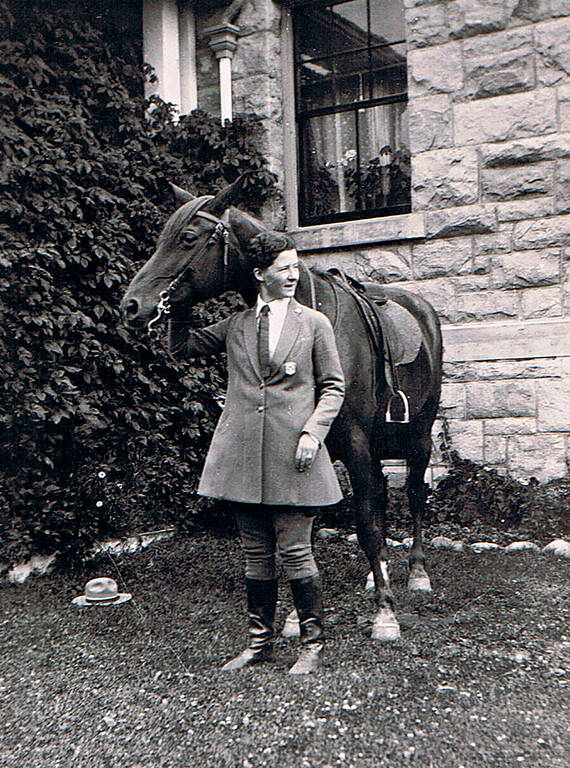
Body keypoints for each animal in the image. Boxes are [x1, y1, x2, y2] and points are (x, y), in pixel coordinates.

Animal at [118, 177, 440, 640]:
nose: (132, 305)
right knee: (382, 494)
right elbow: (307, 527)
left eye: (188, 238)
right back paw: (376, 573)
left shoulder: (355, 444)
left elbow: (366, 521)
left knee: (413, 494)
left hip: (420, 436)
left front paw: (384, 611)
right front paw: (295, 615)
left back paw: (416, 572)